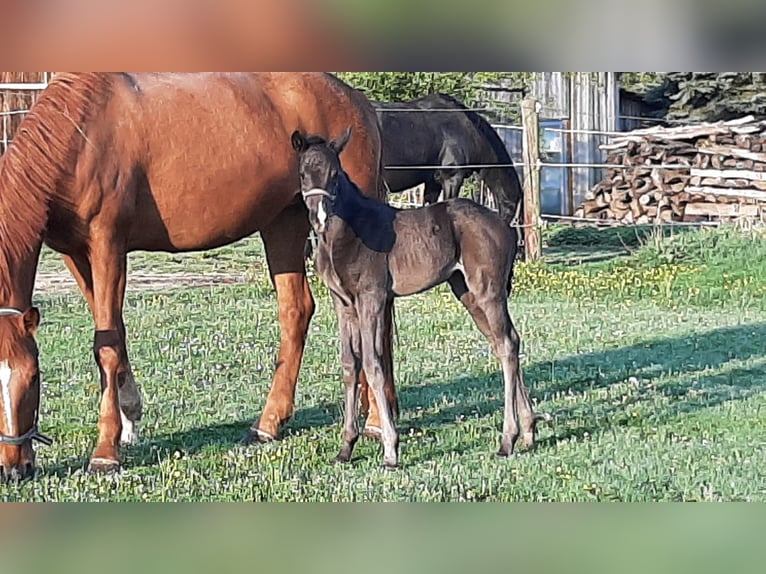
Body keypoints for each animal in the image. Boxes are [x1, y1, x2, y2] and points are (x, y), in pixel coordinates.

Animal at [1, 73, 402, 482]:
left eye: (33, 378)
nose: (13, 468)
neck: (82, 135)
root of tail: (356, 101)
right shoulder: (75, 254)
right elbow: (115, 332)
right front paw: (129, 419)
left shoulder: (107, 243)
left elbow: (106, 346)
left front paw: (105, 452)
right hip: (283, 222)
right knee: (297, 311)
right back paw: (269, 423)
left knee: (374, 321)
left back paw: (375, 419)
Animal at [292, 129, 536, 468]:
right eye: (303, 174)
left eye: (335, 175)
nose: (319, 216)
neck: (347, 234)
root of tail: (505, 224)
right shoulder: (343, 303)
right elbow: (349, 365)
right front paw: (346, 447)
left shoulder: (371, 299)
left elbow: (373, 364)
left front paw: (390, 450)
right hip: (467, 293)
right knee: (506, 343)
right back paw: (528, 432)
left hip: (488, 291)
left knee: (508, 344)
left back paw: (507, 439)